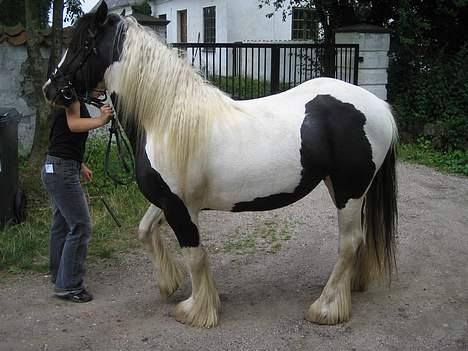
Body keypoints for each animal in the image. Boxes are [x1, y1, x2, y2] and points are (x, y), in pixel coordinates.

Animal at [42, 1, 396, 328]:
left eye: (81, 44)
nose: (51, 88)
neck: (166, 121)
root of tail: (378, 106)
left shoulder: (180, 208)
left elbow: (195, 255)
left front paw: (196, 311)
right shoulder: (169, 201)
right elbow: (145, 230)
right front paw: (169, 283)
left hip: (349, 191)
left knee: (349, 243)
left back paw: (326, 307)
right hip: (344, 188)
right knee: (358, 239)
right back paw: (352, 287)